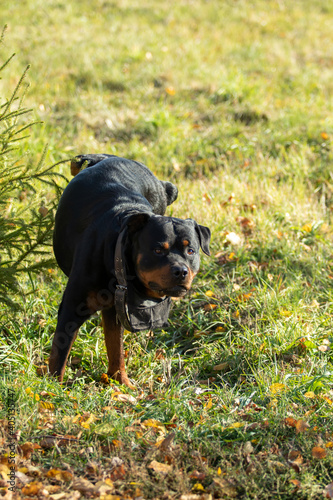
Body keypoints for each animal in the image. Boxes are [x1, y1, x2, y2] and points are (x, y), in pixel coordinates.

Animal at [49, 153, 210, 386]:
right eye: (158, 250)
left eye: (191, 251)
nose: (181, 271)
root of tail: (103, 156)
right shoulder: (71, 309)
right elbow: (59, 357)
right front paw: (52, 389)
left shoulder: (117, 310)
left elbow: (116, 348)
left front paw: (120, 382)